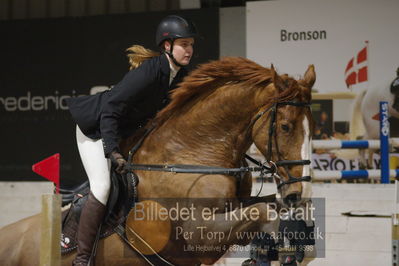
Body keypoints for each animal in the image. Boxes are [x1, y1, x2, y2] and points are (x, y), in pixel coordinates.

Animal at [0, 57, 316, 264]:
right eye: (285, 126)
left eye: (311, 126)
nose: (298, 193)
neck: (191, 152)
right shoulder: (198, 235)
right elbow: (265, 213)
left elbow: (268, 208)